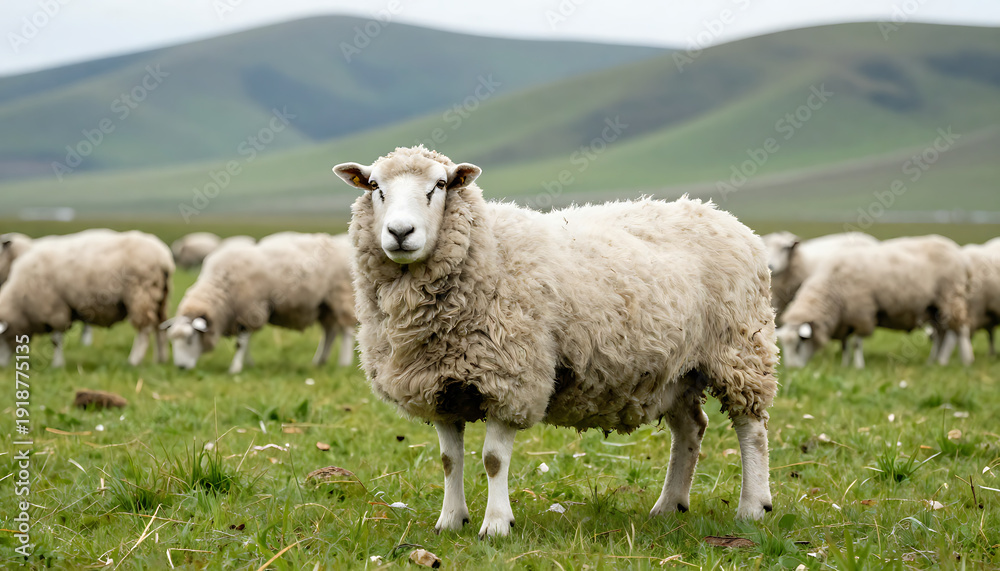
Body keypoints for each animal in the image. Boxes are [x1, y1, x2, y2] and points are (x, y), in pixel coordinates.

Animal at [0, 229, 174, 367]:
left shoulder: (55, 309)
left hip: (141, 294)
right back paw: (161, 359)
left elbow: (56, 340)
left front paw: (57, 365)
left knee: (144, 329)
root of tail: (163, 257)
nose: (2, 367)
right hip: (160, 297)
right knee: (160, 326)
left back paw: (134, 361)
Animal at [165, 232, 356, 374]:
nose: (181, 368)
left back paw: (344, 363)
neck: (221, 285)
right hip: (324, 306)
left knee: (346, 331)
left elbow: (241, 342)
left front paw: (235, 368)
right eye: (172, 341)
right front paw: (248, 363)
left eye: (190, 339)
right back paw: (319, 361)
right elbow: (247, 341)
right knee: (330, 332)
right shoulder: (243, 313)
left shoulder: (249, 307)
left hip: (341, 296)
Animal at [333, 146, 779, 538]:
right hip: (678, 370)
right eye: (375, 186)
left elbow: (493, 460)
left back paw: (753, 507)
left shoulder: (512, 377)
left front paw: (496, 525)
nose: (400, 232)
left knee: (751, 428)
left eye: (439, 185)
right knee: (690, 429)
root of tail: (721, 214)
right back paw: (669, 506)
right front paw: (450, 521)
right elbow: (448, 459)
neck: (490, 249)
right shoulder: (440, 385)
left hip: (740, 349)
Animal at [776, 235, 973, 369]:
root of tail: (957, 252)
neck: (832, 286)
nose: (792, 369)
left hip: (950, 296)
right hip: (933, 307)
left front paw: (858, 366)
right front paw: (845, 364)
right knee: (940, 333)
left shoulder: (861, 312)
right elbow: (845, 344)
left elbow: (856, 343)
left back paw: (966, 360)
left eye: (799, 343)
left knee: (961, 330)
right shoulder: (845, 318)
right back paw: (934, 362)